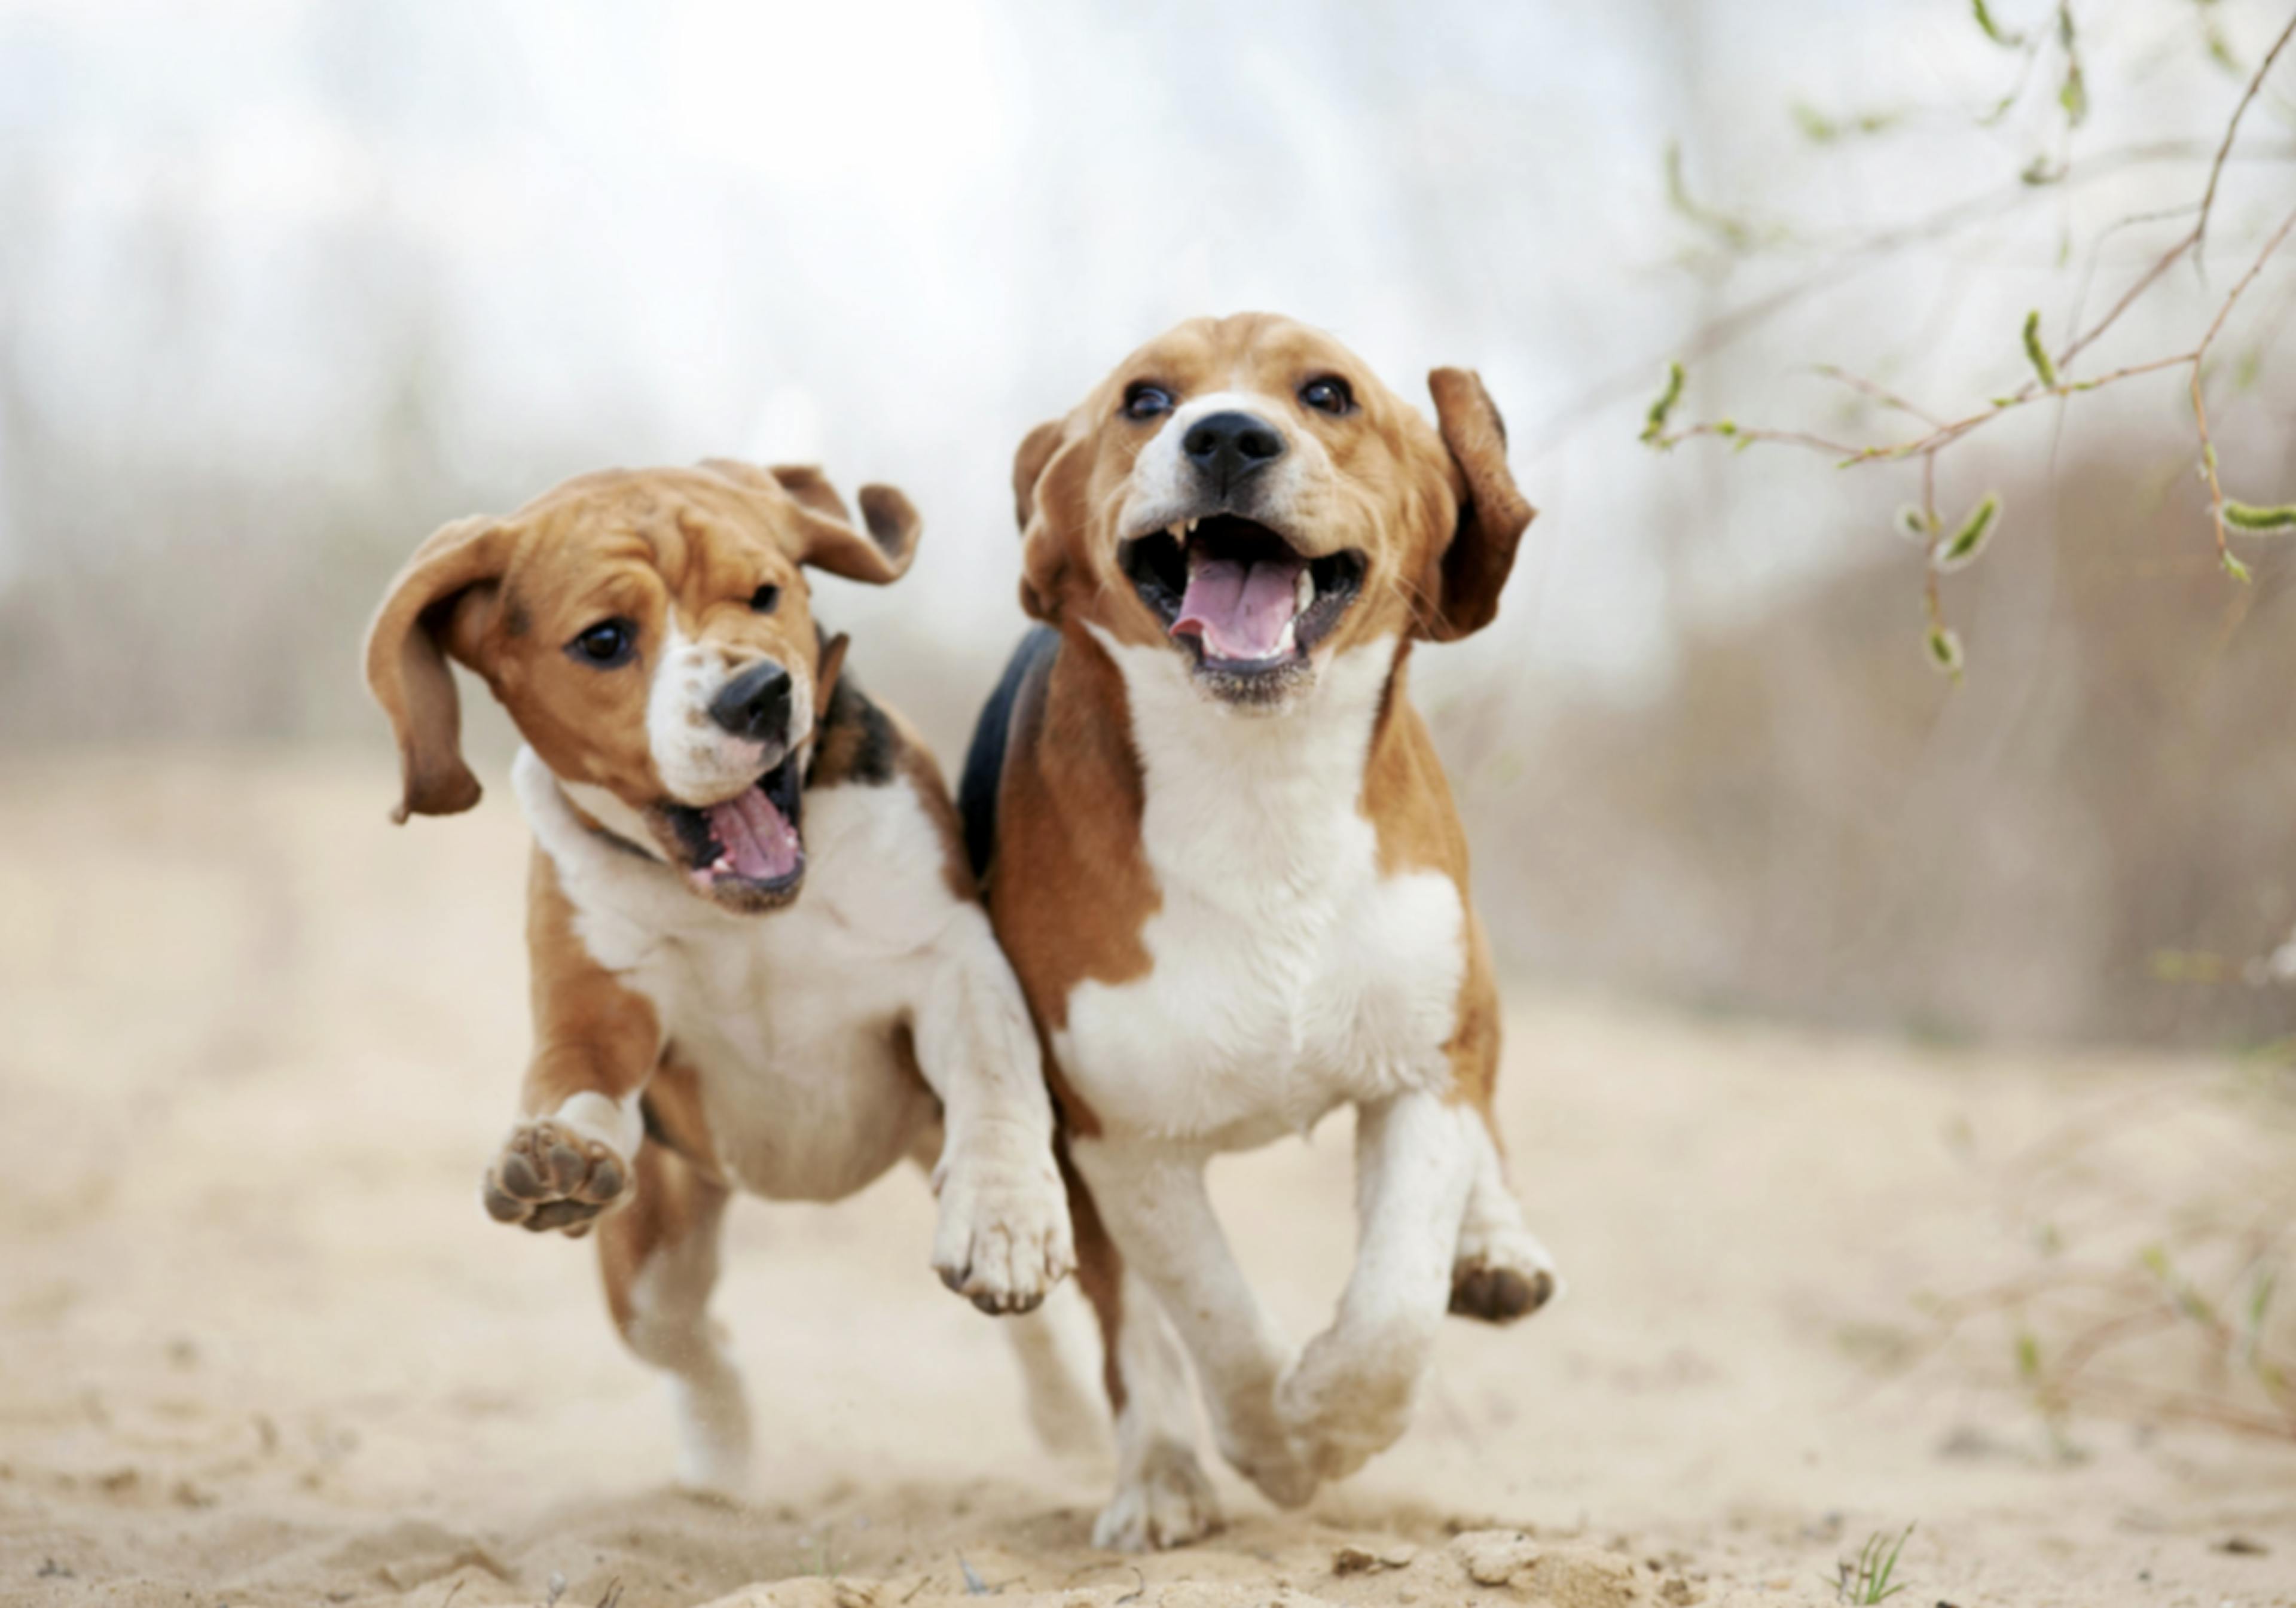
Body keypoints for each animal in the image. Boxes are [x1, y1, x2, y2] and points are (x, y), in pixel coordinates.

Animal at [362, 454, 1079, 1497]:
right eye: (606, 640)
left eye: (766, 594)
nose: (760, 694)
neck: (751, 910)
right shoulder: (595, 1014)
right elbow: (575, 1083)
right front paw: (559, 1155)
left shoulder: (952, 962)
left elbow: (992, 1080)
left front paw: (1003, 1213)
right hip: (652, 1258)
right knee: (696, 1348)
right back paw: (722, 1478)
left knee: (1050, 1339)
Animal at [950, 307, 1561, 1552]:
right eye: (1145, 400)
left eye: (1327, 393)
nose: (1227, 435)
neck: (1259, 780)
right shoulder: (1118, 1134)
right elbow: (1208, 1312)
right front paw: (1280, 1441)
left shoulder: (1421, 1073)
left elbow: (1392, 1310)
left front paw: (1332, 1410)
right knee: (1136, 1337)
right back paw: (1161, 1474)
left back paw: (1497, 1240)